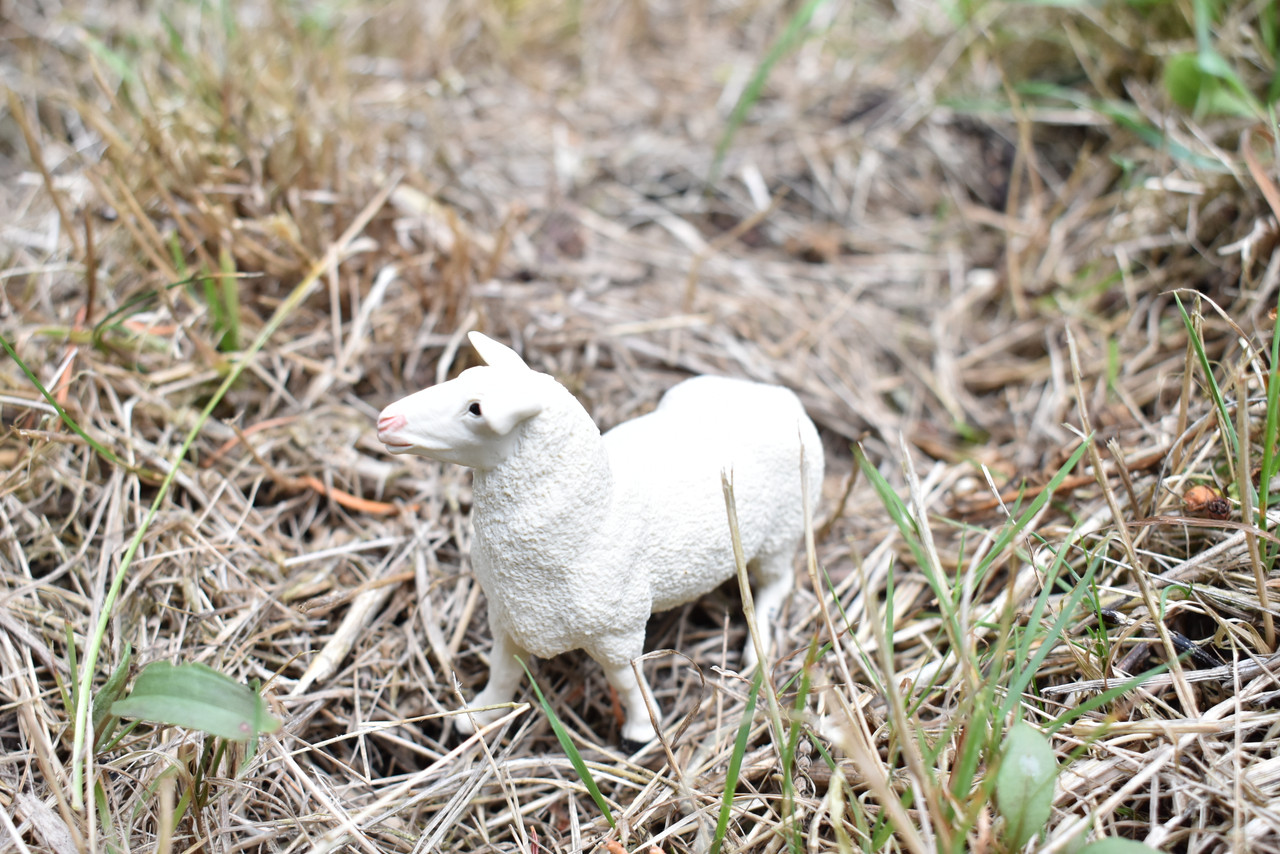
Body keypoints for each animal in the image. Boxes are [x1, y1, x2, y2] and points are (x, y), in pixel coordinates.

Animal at [373, 330, 824, 742]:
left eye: (476, 409)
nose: (386, 419)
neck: (594, 515)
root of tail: (781, 395)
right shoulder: (509, 614)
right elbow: (503, 670)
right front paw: (480, 716)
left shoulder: (617, 632)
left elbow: (626, 680)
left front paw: (644, 729)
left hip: (781, 534)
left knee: (779, 583)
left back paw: (758, 643)